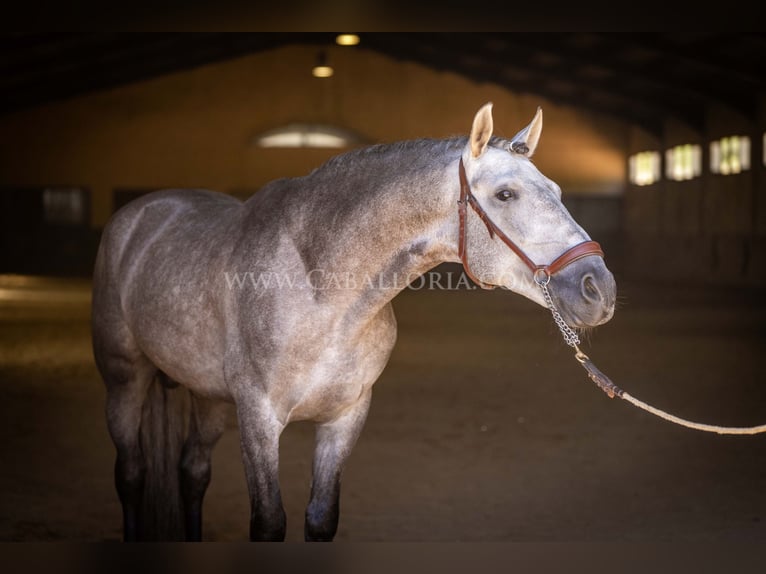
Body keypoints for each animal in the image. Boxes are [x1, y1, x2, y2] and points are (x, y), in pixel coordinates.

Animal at [91, 104, 616, 544]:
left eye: (558, 192)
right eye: (506, 194)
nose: (599, 288)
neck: (320, 290)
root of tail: (144, 209)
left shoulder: (345, 417)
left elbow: (321, 517)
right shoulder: (258, 418)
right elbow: (269, 521)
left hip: (209, 397)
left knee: (192, 473)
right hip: (124, 381)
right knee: (131, 474)